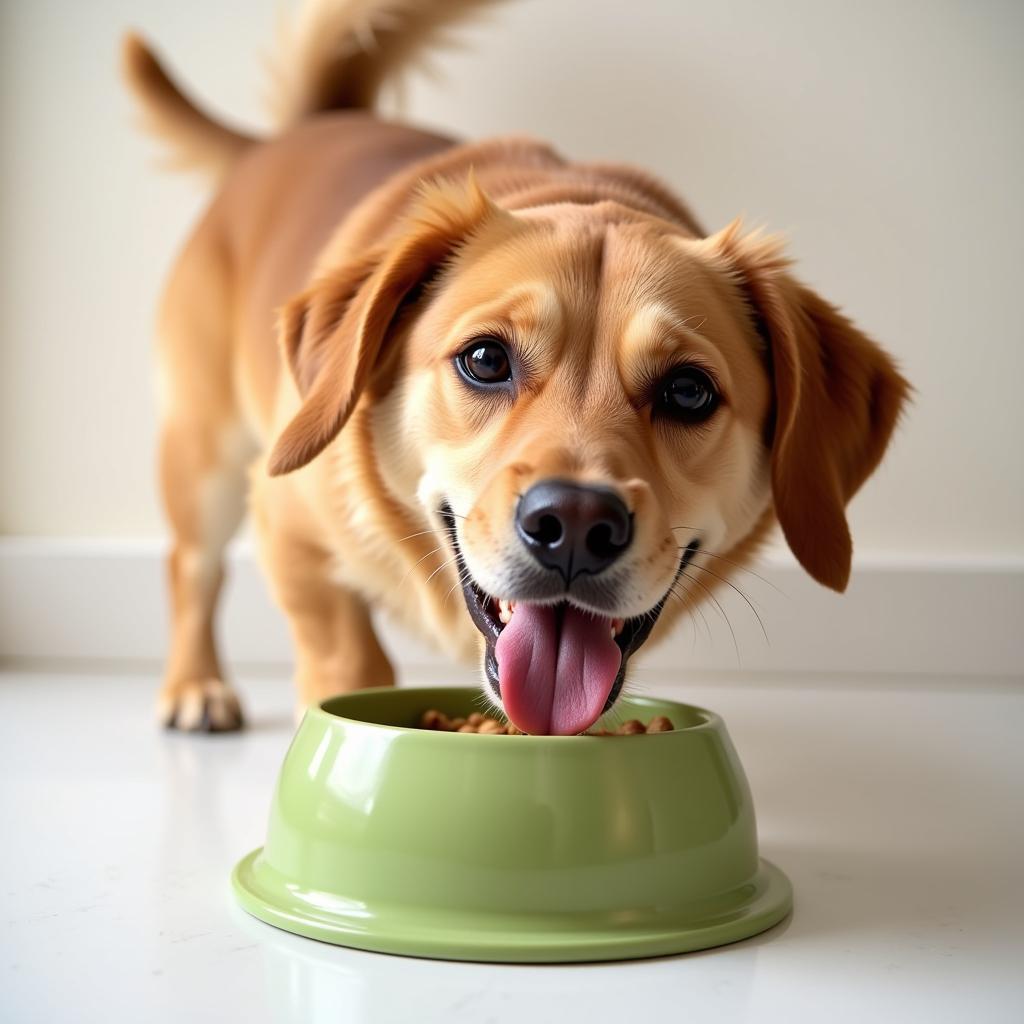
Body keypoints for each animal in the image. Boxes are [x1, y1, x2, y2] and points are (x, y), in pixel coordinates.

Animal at [123, 0, 909, 737]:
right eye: (484, 359)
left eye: (689, 390)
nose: (577, 523)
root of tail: (306, 132)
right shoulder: (292, 533)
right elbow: (346, 654)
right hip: (204, 455)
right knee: (189, 566)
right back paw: (195, 686)